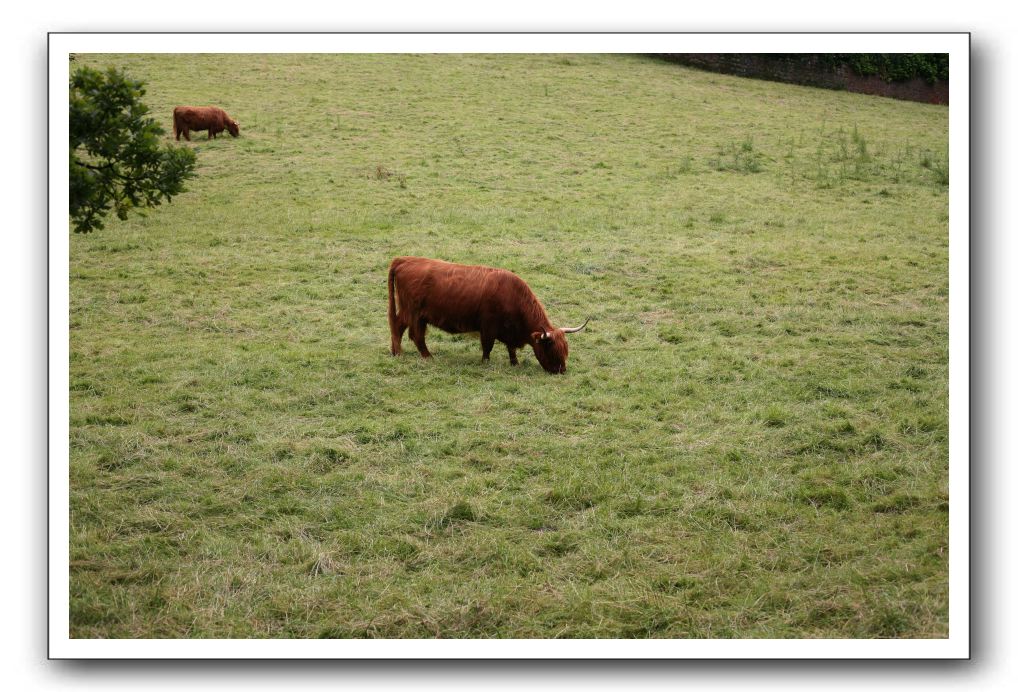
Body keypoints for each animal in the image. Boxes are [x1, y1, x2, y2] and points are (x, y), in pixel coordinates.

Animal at [386, 255, 590, 372]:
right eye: (551, 350)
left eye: (565, 350)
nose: (561, 370)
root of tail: (405, 260)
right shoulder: (488, 327)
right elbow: (488, 346)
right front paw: (485, 362)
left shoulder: (509, 331)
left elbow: (511, 348)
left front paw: (514, 363)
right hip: (413, 313)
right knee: (413, 334)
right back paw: (423, 356)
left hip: (413, 314)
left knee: (401, 328)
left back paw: (397, 353)